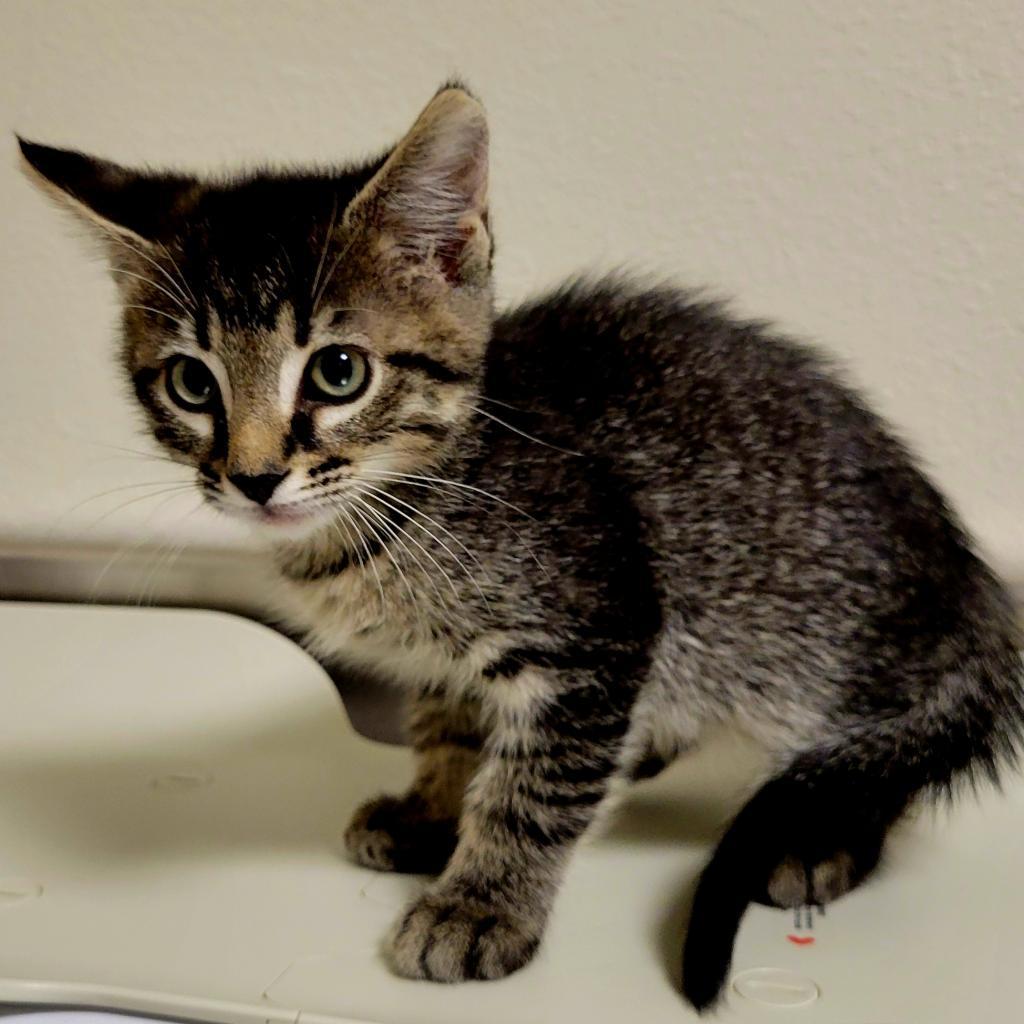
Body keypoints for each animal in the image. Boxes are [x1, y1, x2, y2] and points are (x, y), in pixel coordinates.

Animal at [19, 83, 1019, 1011]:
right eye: (192, 384)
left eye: (339, 372)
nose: (255, 478)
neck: (401, 513)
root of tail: (971, 590)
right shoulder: (454, 661)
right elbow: (448, 725)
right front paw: (433, 811)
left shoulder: (600, 622)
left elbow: (533, 789)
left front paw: (481, 906)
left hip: (808, 649)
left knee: (878, 752)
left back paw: (820, 837)